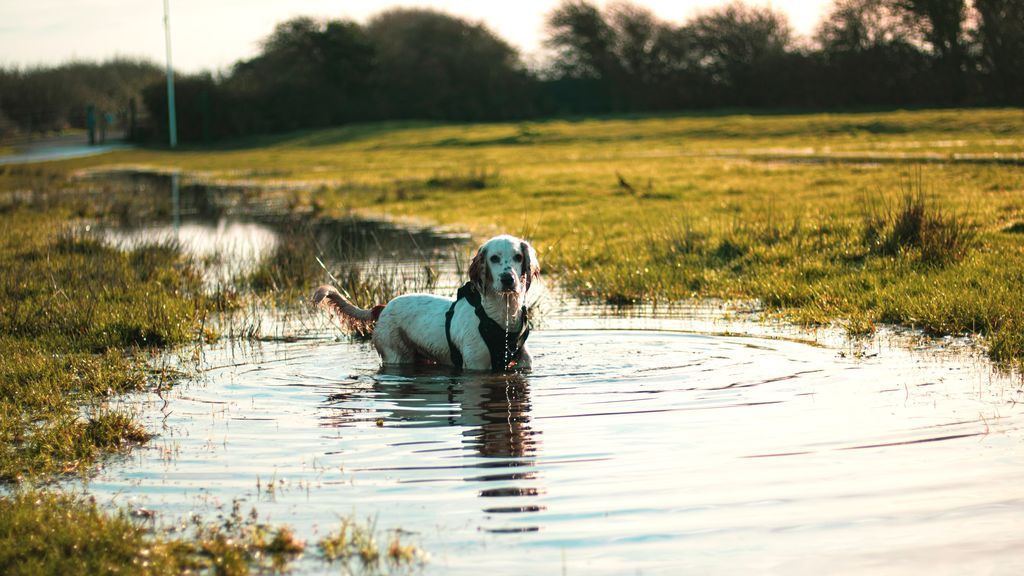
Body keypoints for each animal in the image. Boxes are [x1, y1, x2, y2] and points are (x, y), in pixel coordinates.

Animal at [311, 235, 540, 368]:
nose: (508, 279)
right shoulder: (476, 364)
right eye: (494, 258)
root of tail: (383, 307)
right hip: (397, 356)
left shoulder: (521, 364)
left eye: (518, 257)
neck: (501, 316)